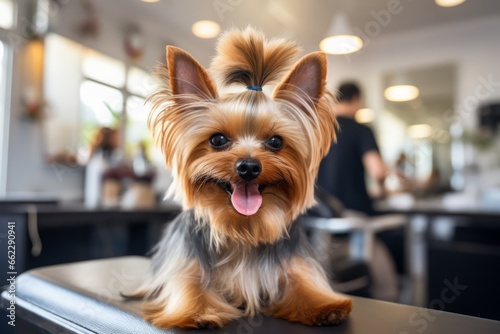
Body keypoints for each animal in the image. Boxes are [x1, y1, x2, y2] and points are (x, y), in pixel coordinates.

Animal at [133, 26, 352, 328]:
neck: (243, 232)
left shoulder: (295, 263)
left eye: (275, 142)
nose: (248, 167)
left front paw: (325, 306)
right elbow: (190, 283)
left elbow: (303, 281)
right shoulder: (185, 261)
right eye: (217, 140)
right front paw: (198, 312)